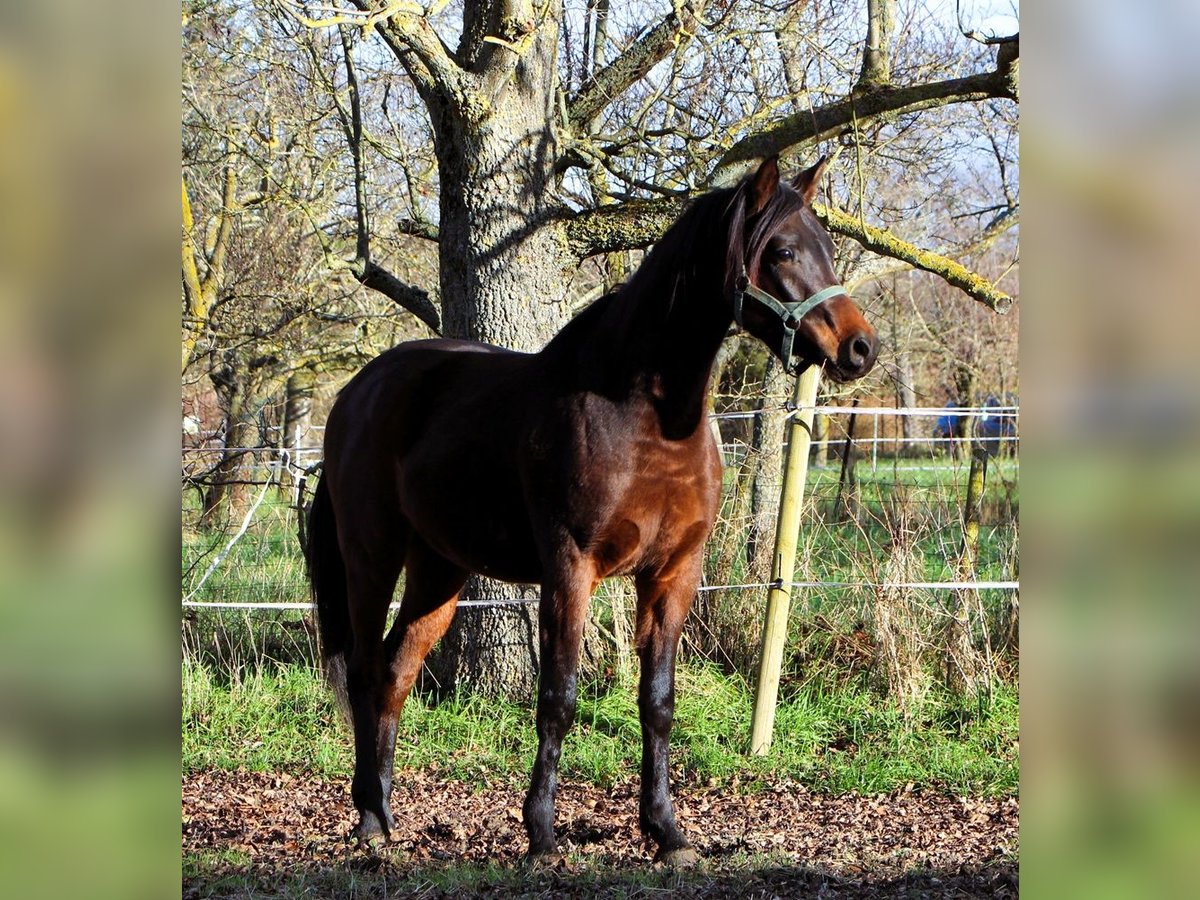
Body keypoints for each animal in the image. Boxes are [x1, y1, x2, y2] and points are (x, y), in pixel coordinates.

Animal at [304, 157, 878, 868]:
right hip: (372, 555)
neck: (642, 414)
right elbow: (558, 698)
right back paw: (367, 823)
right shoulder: (570, 568)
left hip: (440, 568)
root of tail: (358, 392)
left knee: (394, 671)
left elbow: (657, 703)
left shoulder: (672, 573)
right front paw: (542, 834)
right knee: (361, 670)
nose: (860, 348)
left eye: (827, 248)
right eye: (782, 252)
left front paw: (667, 833)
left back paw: (385, 815)